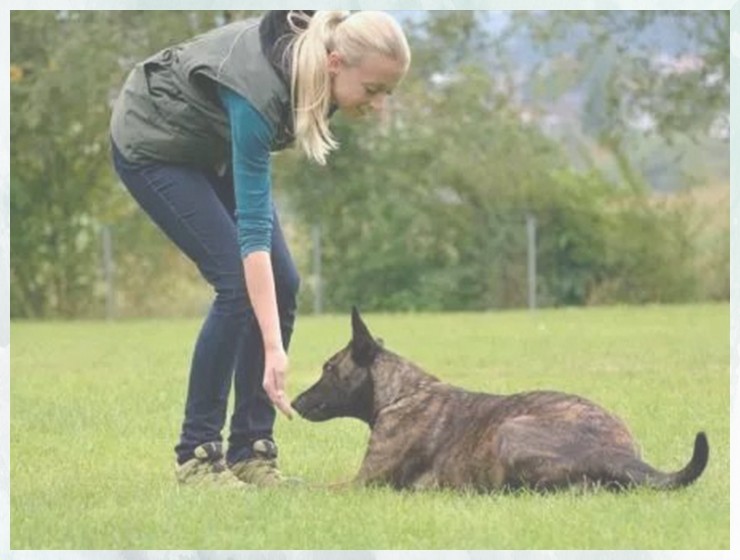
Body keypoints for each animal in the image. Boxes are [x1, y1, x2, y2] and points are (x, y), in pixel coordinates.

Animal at [290, 308, 712, 492]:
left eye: (328, 368)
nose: (294, 402)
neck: (401, 393)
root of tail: (616, 452)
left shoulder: (362, 483)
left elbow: (307, 487)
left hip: (511, 431)